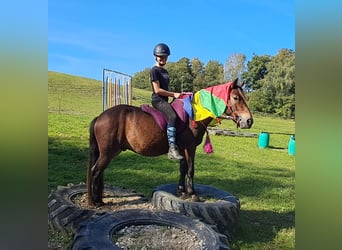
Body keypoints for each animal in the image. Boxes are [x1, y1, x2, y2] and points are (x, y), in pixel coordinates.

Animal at [87, 78, 252, 207]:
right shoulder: (190, 147)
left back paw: (99, 200)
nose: (249, 121)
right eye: (236, 97)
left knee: (99, 172)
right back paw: (94, 202)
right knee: (95, 171)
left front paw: (182, 191)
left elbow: (183, 168)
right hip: (108, 152)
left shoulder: (182, 148)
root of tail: (100, 117)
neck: (193, 114)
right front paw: (192, 194)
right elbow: (190, 169)